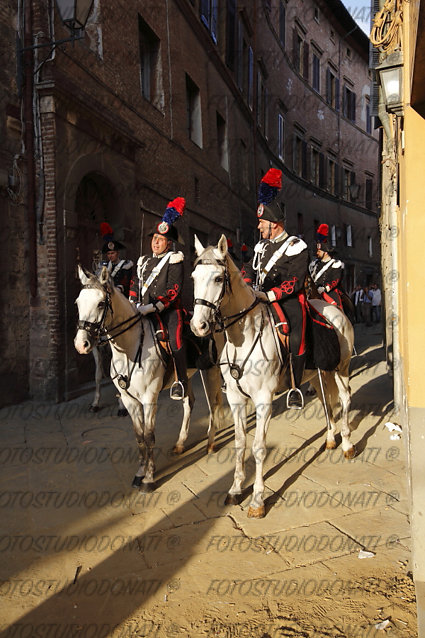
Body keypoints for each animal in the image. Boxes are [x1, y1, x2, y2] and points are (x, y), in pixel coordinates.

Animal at [74, 264, 224, 490]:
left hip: (211, 371)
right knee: (189, 402)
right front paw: (140, 472)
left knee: (213, 405)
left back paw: (210, 443)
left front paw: (149, 478)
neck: (129, 347)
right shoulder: (129, 399)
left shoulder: (149, 399)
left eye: (101, 303)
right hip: (186, 377)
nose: (81, 344)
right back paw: (180, 443)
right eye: (78, 302)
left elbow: (149, 436)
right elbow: (139, 437)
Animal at [190, 235, 354, 520]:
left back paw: (346, 445)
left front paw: (257, 500)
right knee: (327, 402)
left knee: (344, 400)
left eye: (219, 278)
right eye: (193, 277)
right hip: (318, 375)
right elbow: (240, 443)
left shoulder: (263, 401)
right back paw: (331, 439)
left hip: (341, 369)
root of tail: (334, 311)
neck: (242, 336)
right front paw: (235, 489)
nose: (198, 326)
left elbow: (258, 448)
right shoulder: (236, 401)